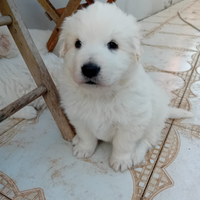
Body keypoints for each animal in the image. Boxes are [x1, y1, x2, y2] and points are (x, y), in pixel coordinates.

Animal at [59, 1, 192, 172]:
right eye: (77, 43)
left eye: (113, 45)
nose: (89, 69)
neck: (99, 95)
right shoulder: (78, 116)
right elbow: (86, 135)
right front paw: (84, 149)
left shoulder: (131, 123)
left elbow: (123, 144)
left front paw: (120, 161)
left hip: (153, 124)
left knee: (147, 141)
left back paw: (136, 155)